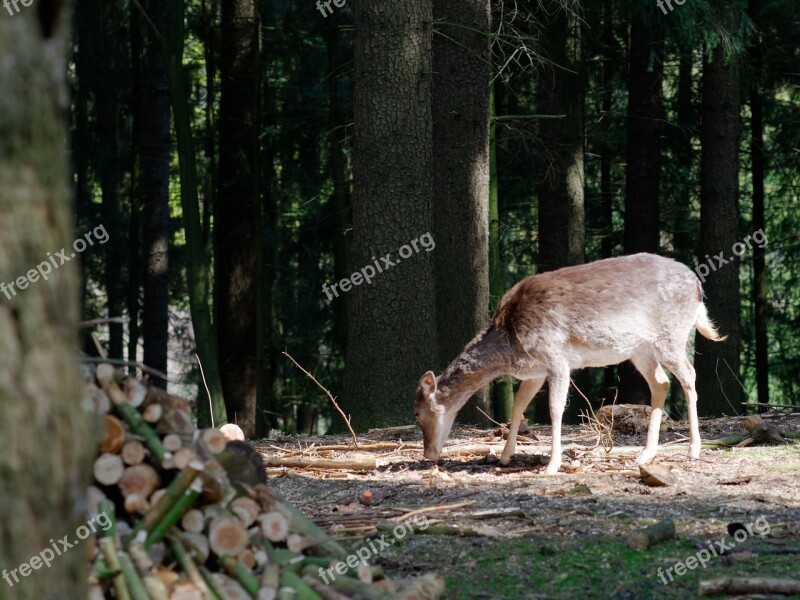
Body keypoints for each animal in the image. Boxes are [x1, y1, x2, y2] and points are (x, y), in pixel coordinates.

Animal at [412, 253, 724, 474]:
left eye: (417, 413)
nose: (427, 454)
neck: (509, 342)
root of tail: (698, 287)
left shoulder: (556, 358)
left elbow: (554, 409)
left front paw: (552, 466)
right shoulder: (535, 371)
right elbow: (518, 406)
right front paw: (505, 457)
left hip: (672, 335)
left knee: (689, 376)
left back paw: (693, 450)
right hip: (640, 349)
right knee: (661, 382)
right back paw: (647, 453)